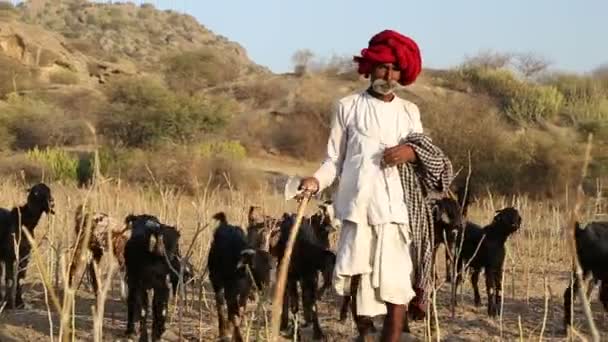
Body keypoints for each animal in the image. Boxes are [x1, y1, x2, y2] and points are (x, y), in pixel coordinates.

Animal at [208, 211, 272, 342]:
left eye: (269, 267)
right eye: (253, 266)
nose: (265, 285)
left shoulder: (244, 293)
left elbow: (240, 312)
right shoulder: (230, 292)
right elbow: (234, 315)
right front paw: (237, 337)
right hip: (216, 281)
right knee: (220, 305)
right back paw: (223, 331)